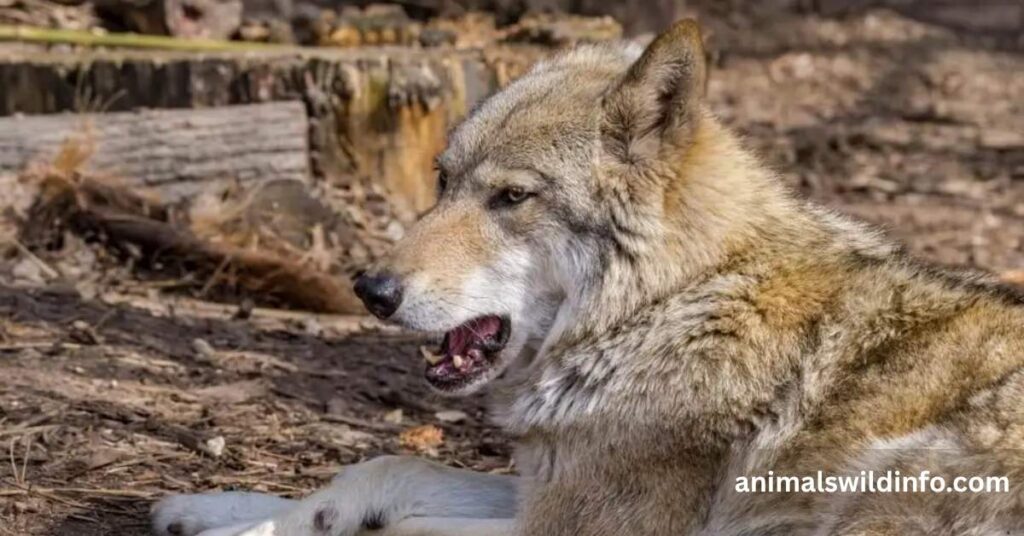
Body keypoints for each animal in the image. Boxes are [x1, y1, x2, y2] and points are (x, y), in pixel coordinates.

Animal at [152, 19, 1024, 536]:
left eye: (511, 198)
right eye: (443, 181)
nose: (372, 291)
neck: (666, 309)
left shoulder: (584, 521)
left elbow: (398, 520)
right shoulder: (548, 485)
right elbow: (385, 467)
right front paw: (217, 511)